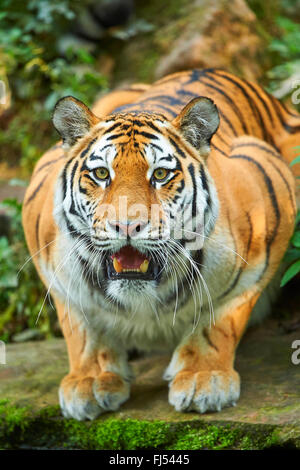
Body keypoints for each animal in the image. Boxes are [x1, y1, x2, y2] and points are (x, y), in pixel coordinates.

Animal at [22, 67, 298, 422]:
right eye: (101, 174)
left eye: (161, 174)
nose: (127, 225)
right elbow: (81, 327)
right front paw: (90, 380)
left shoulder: (267, 210)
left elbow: (221, 318)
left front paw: (204, 378)